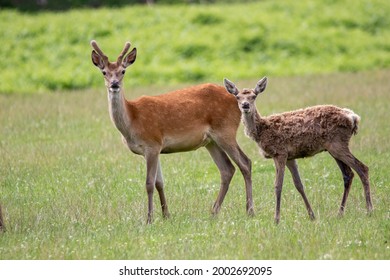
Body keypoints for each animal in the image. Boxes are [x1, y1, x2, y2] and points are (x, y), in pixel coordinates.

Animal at [90, 40, 254, 223]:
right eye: (104, 72)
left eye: (123, 71)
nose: (114, 84)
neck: (132, 121)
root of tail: (237, 100)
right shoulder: (155, 148)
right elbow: (159, 183)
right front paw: (166, 215)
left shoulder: (152, 143)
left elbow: (149, 183)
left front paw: (149, 219)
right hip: (211, 141)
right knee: (227, 169)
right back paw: (214, 212)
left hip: (226, 130)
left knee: (245, 162)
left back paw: (249, 210)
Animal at [224, 76, 374, 223]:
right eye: (238, 97)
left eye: (254, 96)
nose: (245, 105)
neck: (262, 130)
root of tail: (353, 117)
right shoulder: (290, 157)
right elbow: (299, 184)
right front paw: (312, 215)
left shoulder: (280, 152)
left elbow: (278, 185)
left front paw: (276, 219)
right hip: (334, 148)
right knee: (348, 174)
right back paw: (340, 213)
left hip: (338, 145)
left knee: (362, 168)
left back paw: (369, 211)